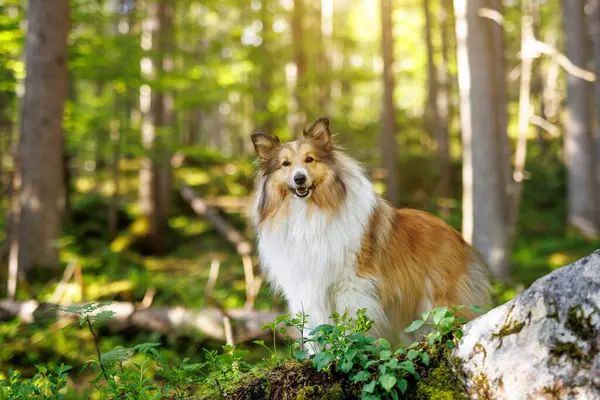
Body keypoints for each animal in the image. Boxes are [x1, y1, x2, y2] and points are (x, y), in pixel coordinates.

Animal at [251, 115, 490, 346]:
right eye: (285, 164)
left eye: (310, 159)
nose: (299, 178)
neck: (308, 214)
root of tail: (457, 235)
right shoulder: (305, 291)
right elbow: (313, 337)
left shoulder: (351, 286)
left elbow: (349, 330)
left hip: (441, 303)